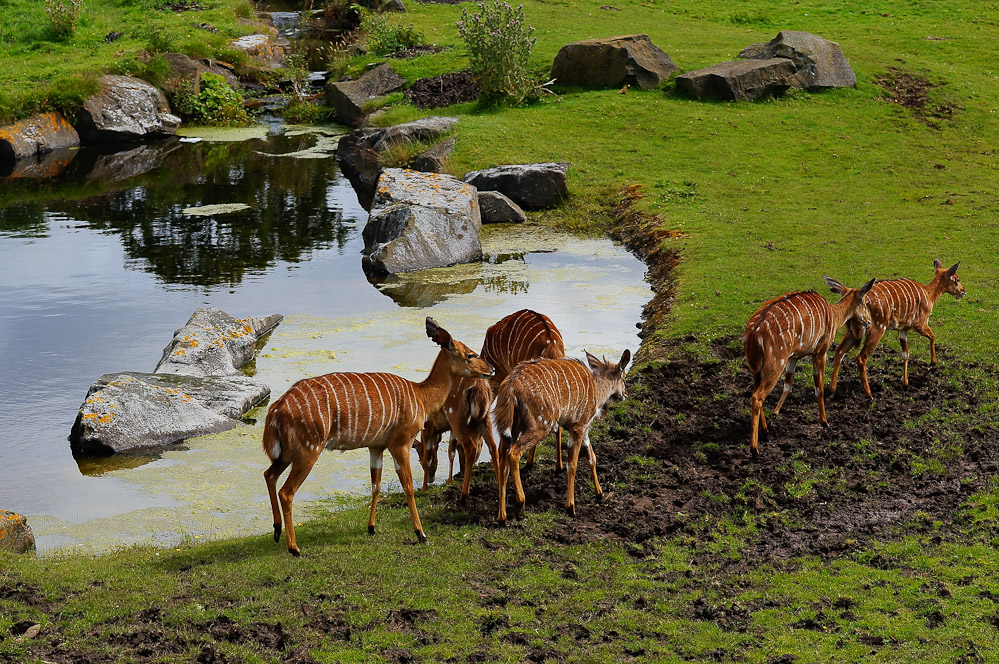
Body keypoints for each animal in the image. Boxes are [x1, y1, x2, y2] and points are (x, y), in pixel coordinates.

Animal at [260, 318, 490, 556]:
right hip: (309, 450)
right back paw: (294, 548)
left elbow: (375, 485)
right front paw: (421, 534)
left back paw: (276, 531)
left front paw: (371, 528)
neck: (421, 396)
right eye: (470, 354)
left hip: (288, 453)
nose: (490, 370)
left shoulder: (376, 447)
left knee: (269, 475)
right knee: (286, 492)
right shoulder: (400, 443)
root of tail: (276, 410)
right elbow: (408, 486)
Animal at [494, 350, 628, 528]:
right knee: (514, 453)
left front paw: (599, 494)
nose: (625, 395)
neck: (597, 390)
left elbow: (592, 458)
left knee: (503, 461)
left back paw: (502, 517)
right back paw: (520, 503)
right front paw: (571, 507)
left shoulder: (582, 430)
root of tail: (510, 387)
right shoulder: (578, 427)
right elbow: (572, 465)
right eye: (624, 378)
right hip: (541, 425)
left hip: (511, 429)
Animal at [744, 274, 876, 456]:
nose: (869, 321)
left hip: (757, 368)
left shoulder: (794, 356)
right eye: (865, 302)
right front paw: (824, 422)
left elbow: (788, 385)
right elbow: (819, 387)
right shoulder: (820, 351)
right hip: (775, 363)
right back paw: (754, 448)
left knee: (756, 392)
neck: (833, 315)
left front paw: (776, 414)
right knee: (757, 396)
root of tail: (754, 332)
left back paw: (765, 431)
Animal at [832, 260, 964, 396]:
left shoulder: (902, 329)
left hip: (852, 331)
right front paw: (933, 362)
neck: (929, 294)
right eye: (957, 279)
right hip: (878, 328)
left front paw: (905, 383)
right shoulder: (919, 324)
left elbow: (905, 354)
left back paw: (833, 390)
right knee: (861, 358)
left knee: (839, 351)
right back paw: (869, 394)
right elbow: (932, 336)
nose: (963, 291)